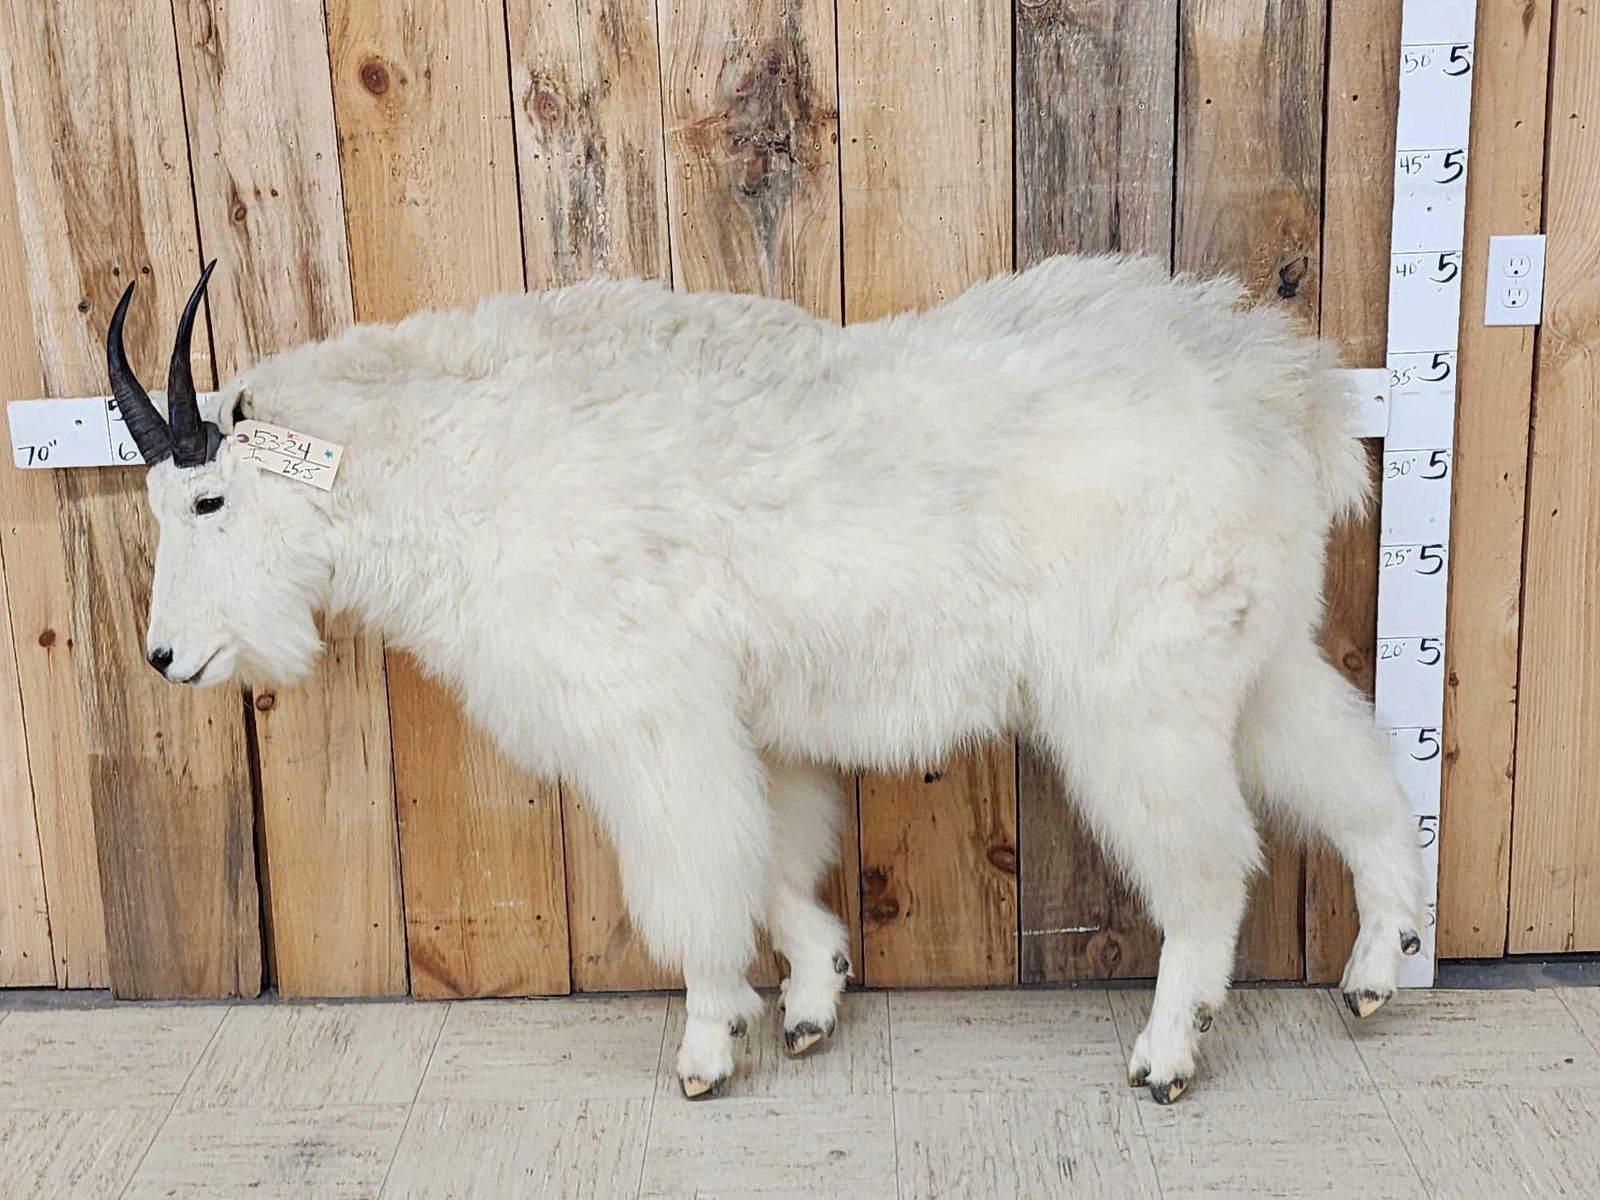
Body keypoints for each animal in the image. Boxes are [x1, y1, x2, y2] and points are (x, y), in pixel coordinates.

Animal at [112, 252, 1424, 1102]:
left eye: (208, 499)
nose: (168, 657)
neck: (474, 463)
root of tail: (1281, 397)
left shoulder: (649, 719)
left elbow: (695, 886)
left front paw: (705, 1048)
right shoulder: (750, 728)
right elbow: (778, 861)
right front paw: (809, 1001)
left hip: (1132, 695)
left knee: (1206, 868)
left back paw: (1167, 1051)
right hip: (1253, 658)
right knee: (1358, 782)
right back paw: (1374, 970)